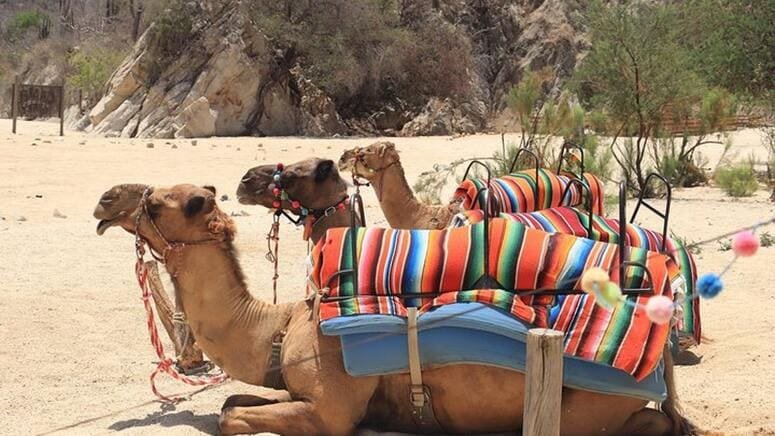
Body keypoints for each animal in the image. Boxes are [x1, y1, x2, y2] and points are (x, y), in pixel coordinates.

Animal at [95, 181, 690, 435]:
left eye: (159, 204)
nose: (105, 202)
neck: (280, 326)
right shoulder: (297, 388)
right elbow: (232, 401)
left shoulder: (330, 412)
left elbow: (231, 418)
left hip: (582, 404)